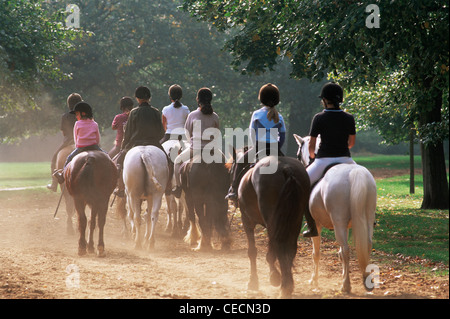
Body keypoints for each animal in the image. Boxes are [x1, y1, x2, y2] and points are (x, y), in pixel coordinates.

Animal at [229, 150, 310, 300]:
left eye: (232, 169)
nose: (231, 192)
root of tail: (286, 169)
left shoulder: (247, 220)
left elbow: (253, 251)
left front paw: (255, 281)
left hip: (273, 221)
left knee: (278, 246)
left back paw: (283, 285)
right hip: (294, 221)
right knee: (290, 249)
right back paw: (287, 285)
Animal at [294, 134, 378, 294]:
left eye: (298, 155)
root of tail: (354, 173)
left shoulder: (318, 225)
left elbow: (316, 253)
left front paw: (314, 280)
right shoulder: (346, 226)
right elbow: (338, 254)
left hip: (338, 223)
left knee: (345, 251)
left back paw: (346, 286)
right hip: (367, 219)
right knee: (366, 245)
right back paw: (364, 280)